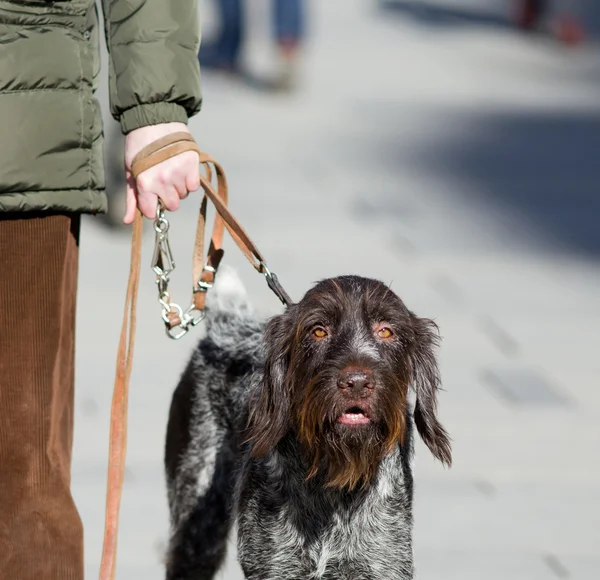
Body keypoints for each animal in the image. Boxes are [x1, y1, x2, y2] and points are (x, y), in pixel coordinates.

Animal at [164, 270, 450, 576]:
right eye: (319, 331)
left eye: (386, 331)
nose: (357, 383)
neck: (336, 482)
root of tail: (229, 324)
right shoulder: (274, 566)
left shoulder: (381, 564)